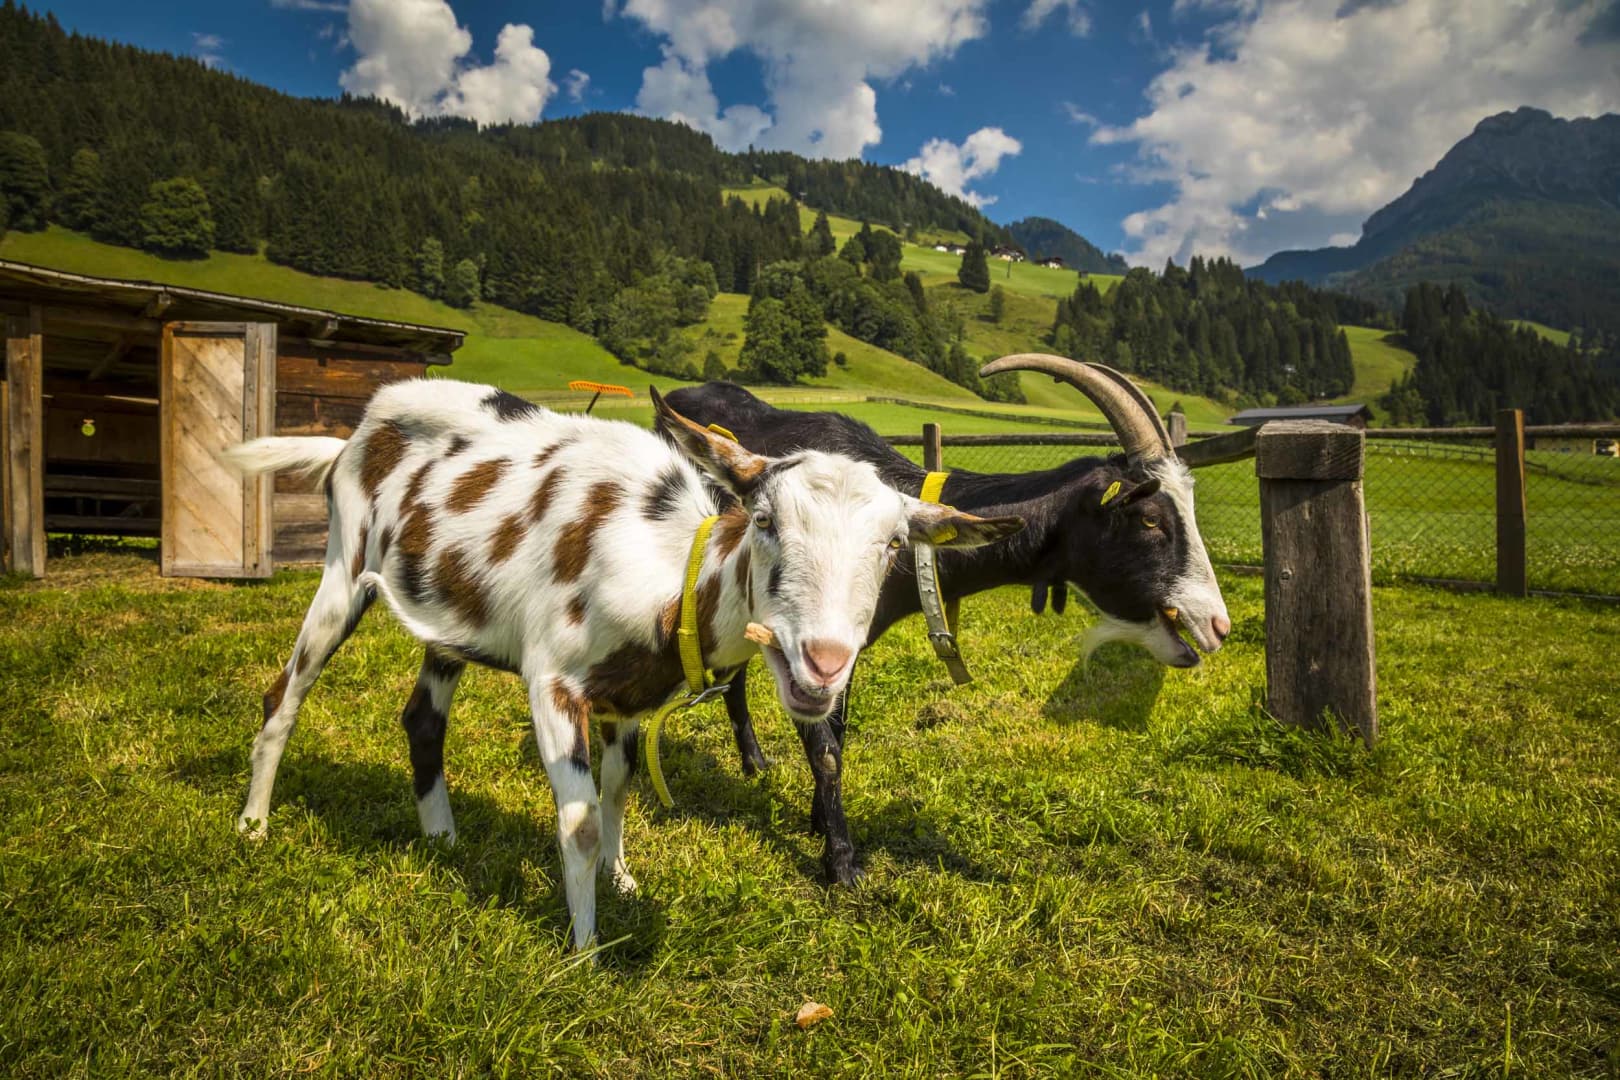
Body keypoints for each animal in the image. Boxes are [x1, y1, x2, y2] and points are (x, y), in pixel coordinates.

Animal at [223, 379, 1021, 950]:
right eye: (764, 521)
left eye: (891, 546)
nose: (823, 663)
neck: (668, 568)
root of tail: (354, 432)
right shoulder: (553, 680)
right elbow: (577, 820)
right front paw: (583, 948)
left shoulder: (630, 699)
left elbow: (617, 792)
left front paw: (623, 879)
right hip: (342, 565)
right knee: (283, 695)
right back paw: (254, 827)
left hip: (446, 615)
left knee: (422, 717)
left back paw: (441, 836)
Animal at [664, 355, 1230, 885]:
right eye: (1151, 519)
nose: (1217, 624)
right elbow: (824, 746)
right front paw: (840, 861)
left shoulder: (845, 643)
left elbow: (837, 732)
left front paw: (819, 820)